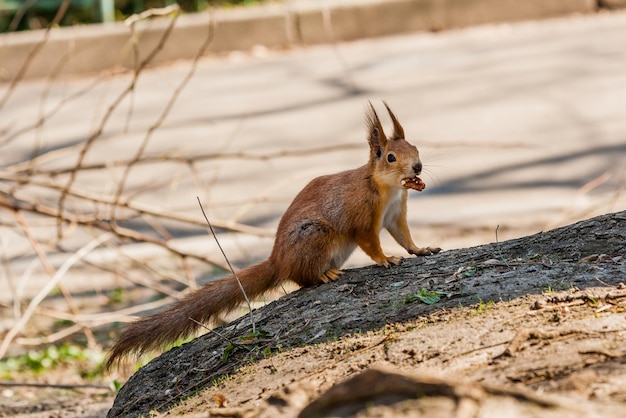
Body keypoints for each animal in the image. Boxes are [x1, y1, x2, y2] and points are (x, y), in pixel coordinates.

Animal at [105, 102, 438, 370]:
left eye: (416, 148)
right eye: (391, 157)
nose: (418, 167)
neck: (388, 188)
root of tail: (278, 261)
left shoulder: (395, 213)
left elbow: (404, 235)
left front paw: (421, 249)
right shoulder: (362, 216)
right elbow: (370, 241)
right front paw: (385, 259)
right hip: (316, 236)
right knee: (303, 278)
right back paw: (324, 275)